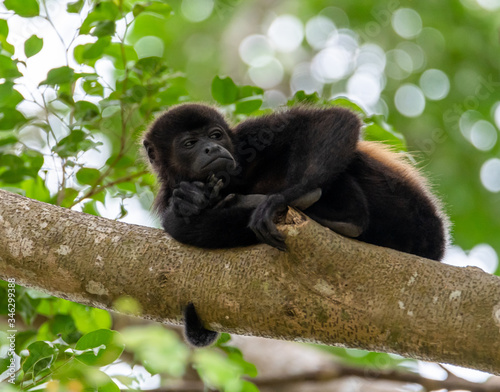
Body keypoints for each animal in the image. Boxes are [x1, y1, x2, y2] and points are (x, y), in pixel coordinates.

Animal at [144, 103, 450, 346]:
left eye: (215, 135)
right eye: (189, 143)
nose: (212, 147)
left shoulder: (250, 135)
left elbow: (332, 119)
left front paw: (283, 198)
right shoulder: (167, 194)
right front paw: (191, 200)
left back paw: (334, 213)